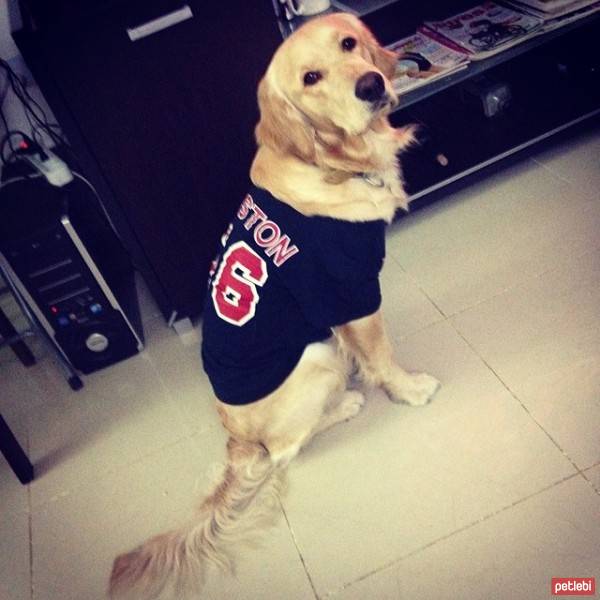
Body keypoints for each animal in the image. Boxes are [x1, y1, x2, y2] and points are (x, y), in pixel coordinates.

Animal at [109, 11, 440, 596]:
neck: (335, 161)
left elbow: (364, 350)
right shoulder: (353, 291)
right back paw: (345, 404)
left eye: (349, 43)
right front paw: (406, 388)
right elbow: (381, 355)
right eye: (310, 78)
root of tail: (234, 441)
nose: (371, 84)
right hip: (313, 361)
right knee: (285, 450)